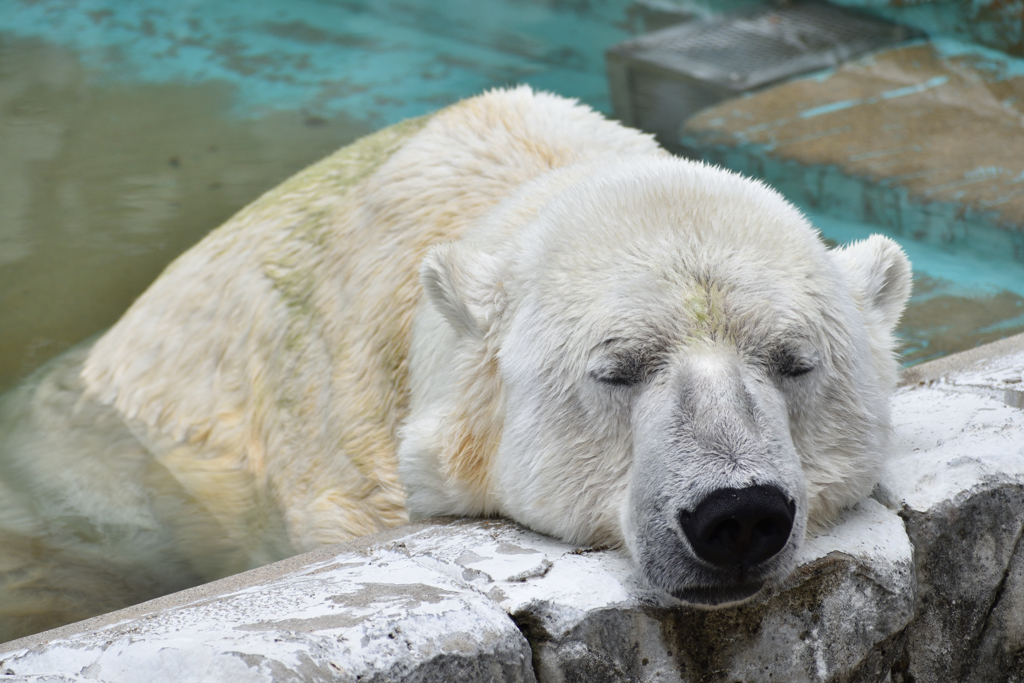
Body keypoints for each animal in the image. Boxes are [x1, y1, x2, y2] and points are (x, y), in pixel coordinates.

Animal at [0, 85, 913, 643]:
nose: (738, 513)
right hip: (99, 481)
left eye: (794, 361)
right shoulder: (350, 469)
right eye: (618, 368)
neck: (530, 180)